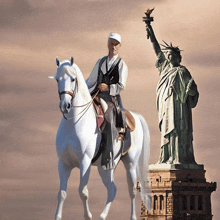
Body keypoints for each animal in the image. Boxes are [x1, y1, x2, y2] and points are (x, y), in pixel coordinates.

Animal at [49, 57, 151, 220]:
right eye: (58, 79)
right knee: (112, 189)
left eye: (73, 79)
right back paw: (102, 216)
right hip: (106, 167)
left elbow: (83, 192)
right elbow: (62, 193)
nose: (65, 105)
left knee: (132, 191)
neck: (74, 122)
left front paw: (88, 216)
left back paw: (132, 216)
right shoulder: (63, 163)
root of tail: (134, 116)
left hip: (130, 164)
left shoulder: (85, 161)